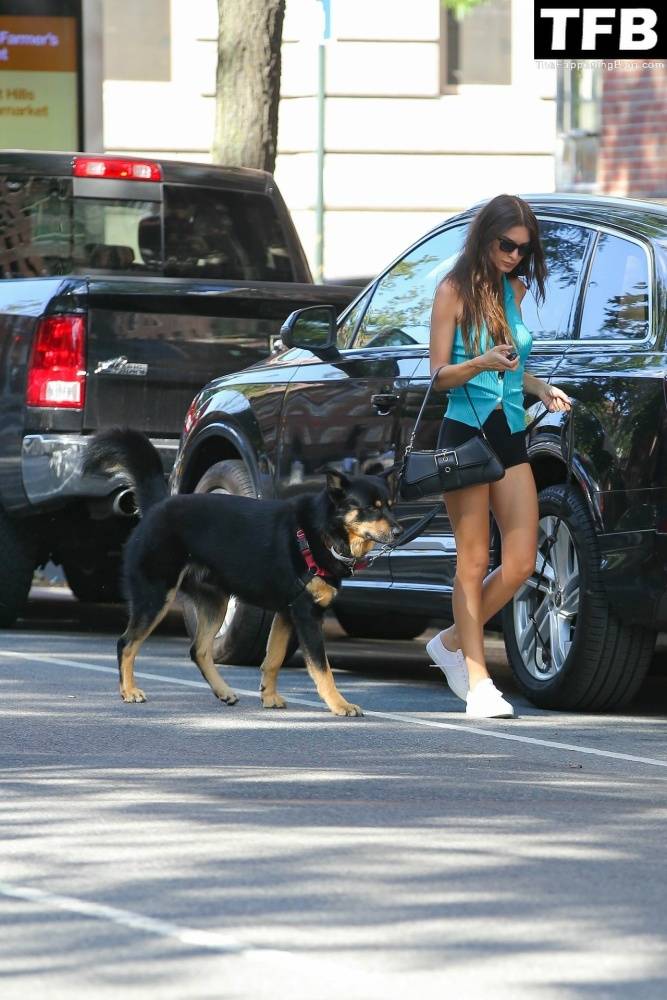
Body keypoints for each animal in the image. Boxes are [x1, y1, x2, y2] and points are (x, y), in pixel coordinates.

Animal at [86, 430, 404, 720]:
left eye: (390, 506)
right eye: (370, 508)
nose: (400, 531)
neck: (324, 532)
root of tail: (156, 507)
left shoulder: (287, 613)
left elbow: (273, 659)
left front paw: (269, 696)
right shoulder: (307, 615)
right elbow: (322, 668)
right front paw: (339, 704)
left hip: (215, 603)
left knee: (198, 650)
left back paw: (223, 691)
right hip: (156, 596)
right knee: (126, 643)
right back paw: (129, 691)